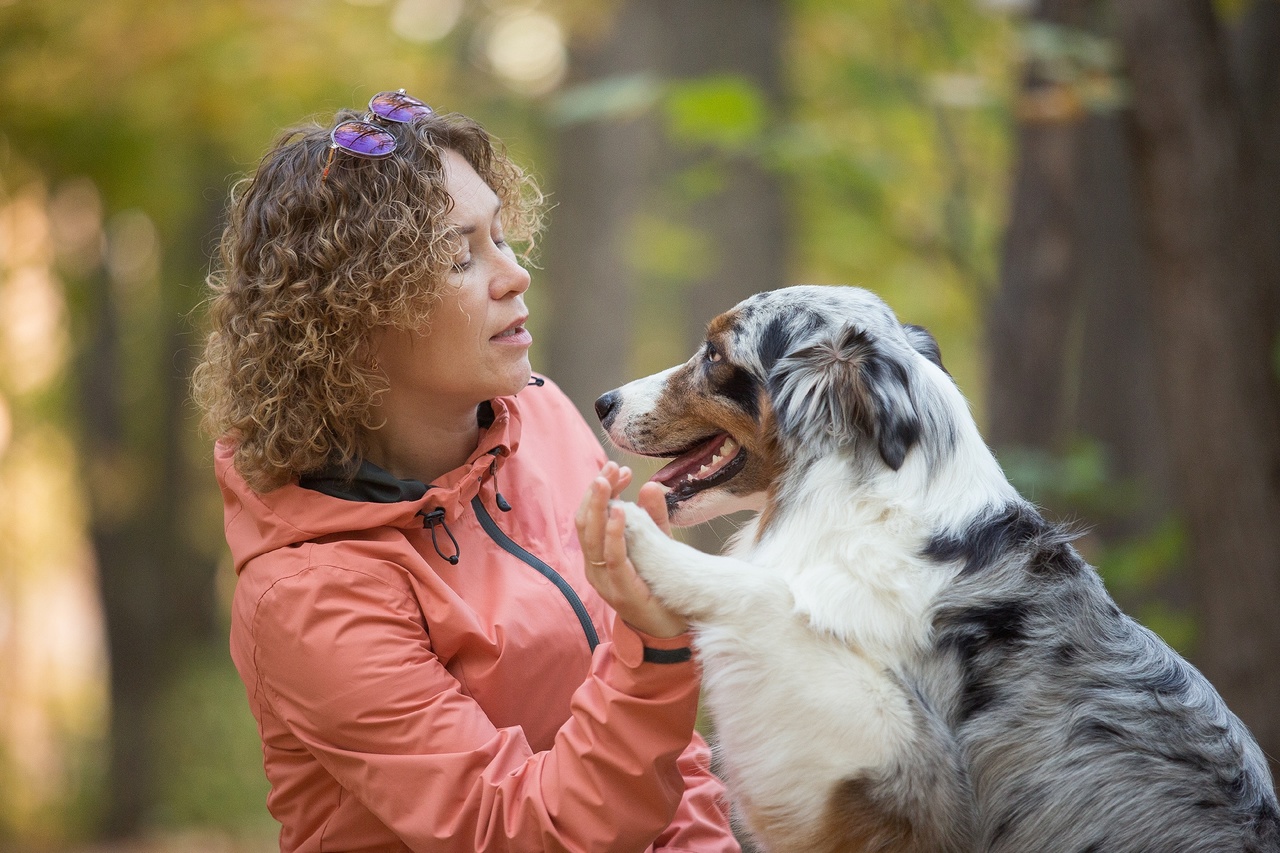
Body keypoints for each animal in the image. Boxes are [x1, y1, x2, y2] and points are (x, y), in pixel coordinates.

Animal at [596, 285, 1280, 850]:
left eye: (714, 355)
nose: (603, 402)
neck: (864, 502)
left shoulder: (909, 769)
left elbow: (767, 598)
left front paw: (636, 533)